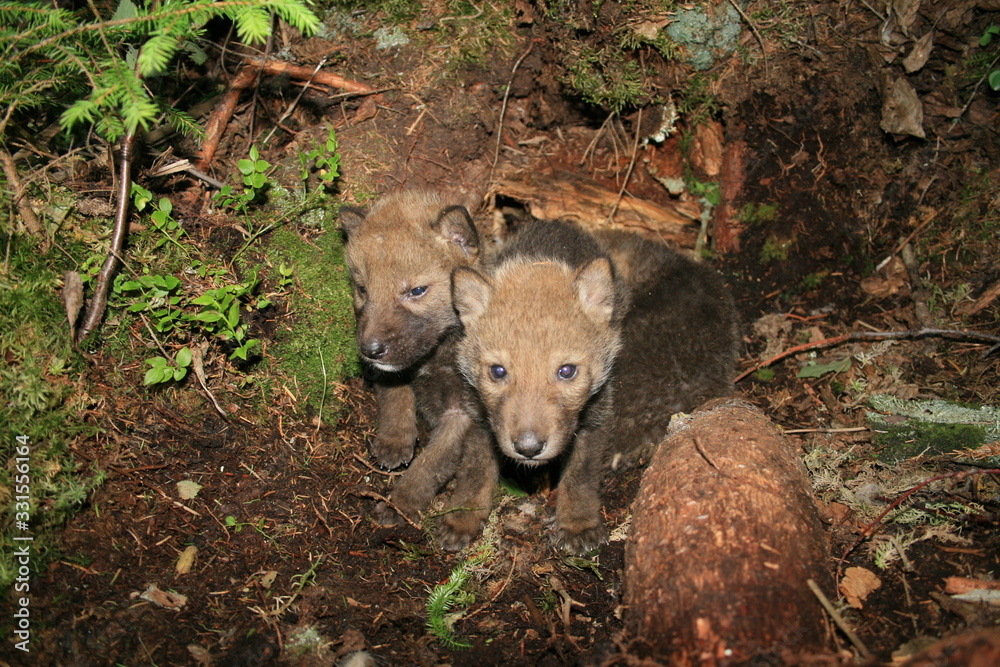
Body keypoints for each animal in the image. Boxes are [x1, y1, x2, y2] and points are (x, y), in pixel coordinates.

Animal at [340, 191, 498, 550]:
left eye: (416, 291)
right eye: (363, 290)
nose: (369, 350)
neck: (437, 356)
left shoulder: (461, 415)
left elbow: (430, 466)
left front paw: (399, 506)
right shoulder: (394, 367)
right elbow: (395, 393)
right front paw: (395, 438)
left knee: (480, 471)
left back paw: (461, 519)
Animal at [452, 219, 738, 553]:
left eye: (566, 371)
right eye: (498, 372)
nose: (529, 448)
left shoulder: (598, 415)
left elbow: (581, 475)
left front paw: (577, 523)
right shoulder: (478, 411)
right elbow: (474, 469)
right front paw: (462, 517)